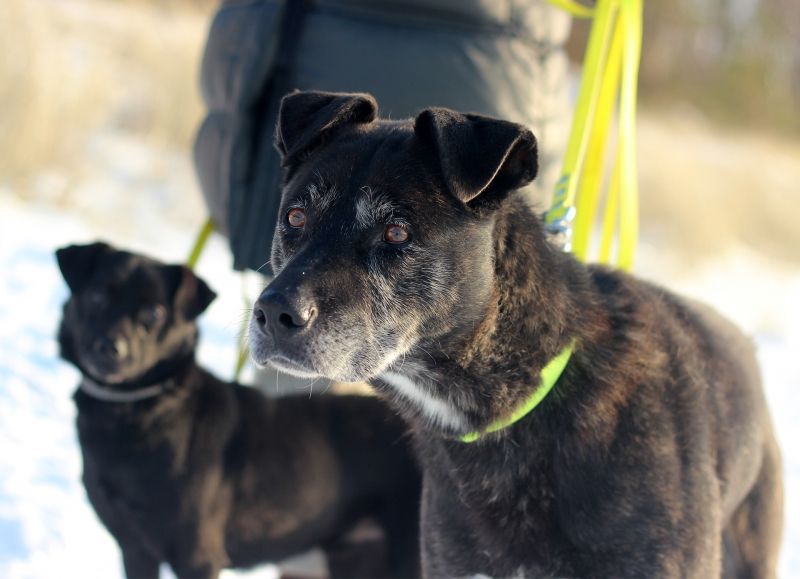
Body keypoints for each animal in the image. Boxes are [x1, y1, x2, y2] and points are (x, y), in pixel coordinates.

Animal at [56, 242, 421, 579]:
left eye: (154, 313)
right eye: (96, 296)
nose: (109, 347)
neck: (136, 412)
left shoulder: (197, 558)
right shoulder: (135, 549)